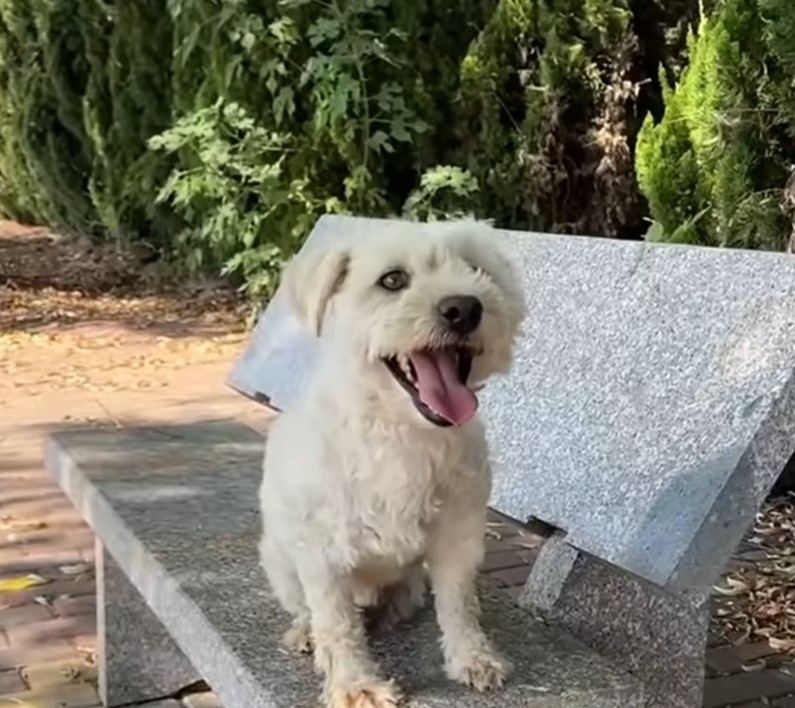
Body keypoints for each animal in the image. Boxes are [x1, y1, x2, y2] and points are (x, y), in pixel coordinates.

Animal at [262, 221, 528, 708]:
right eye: (392, 280)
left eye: (475, 268)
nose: (464, 307)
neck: (401, 431)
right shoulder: (321, 554)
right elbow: (336, 623)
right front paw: (355, 684)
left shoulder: (457, 534)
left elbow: (458, 603)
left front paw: (472, 657)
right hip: (281, 563)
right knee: (311, 611)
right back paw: (306, 633)